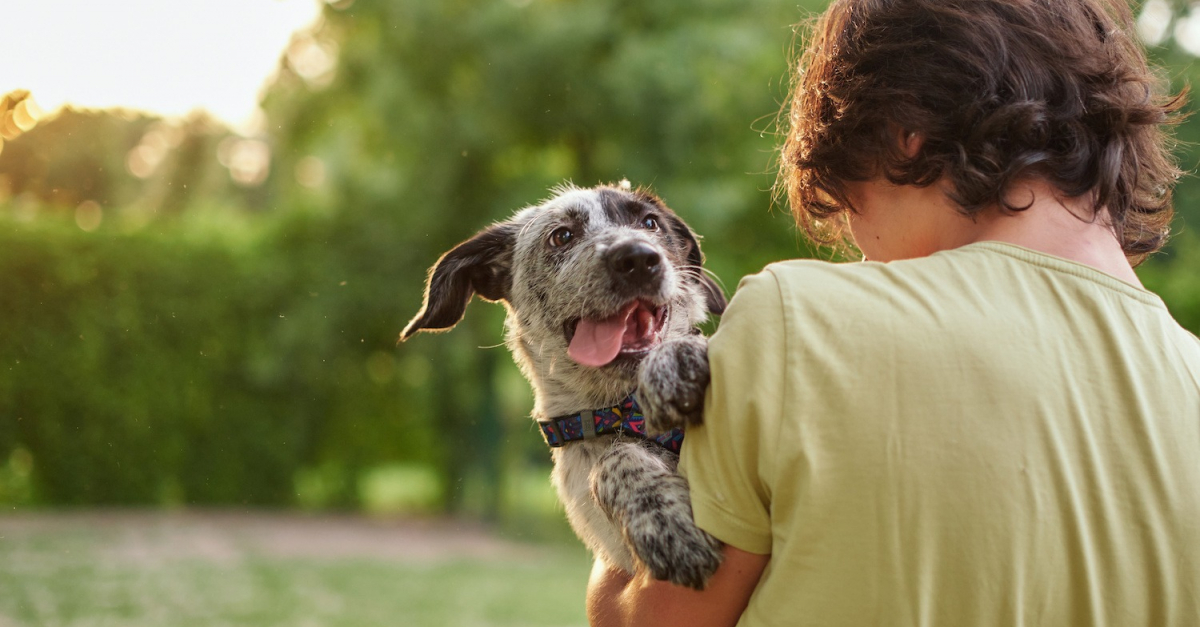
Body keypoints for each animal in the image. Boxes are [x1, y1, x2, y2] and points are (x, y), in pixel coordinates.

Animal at [400, 178, 720, 586]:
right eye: (562, 236)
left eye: (650, 223)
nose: (637, 259)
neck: (624, 411)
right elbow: (615, 459)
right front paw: (664, 519)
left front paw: (674, 361)